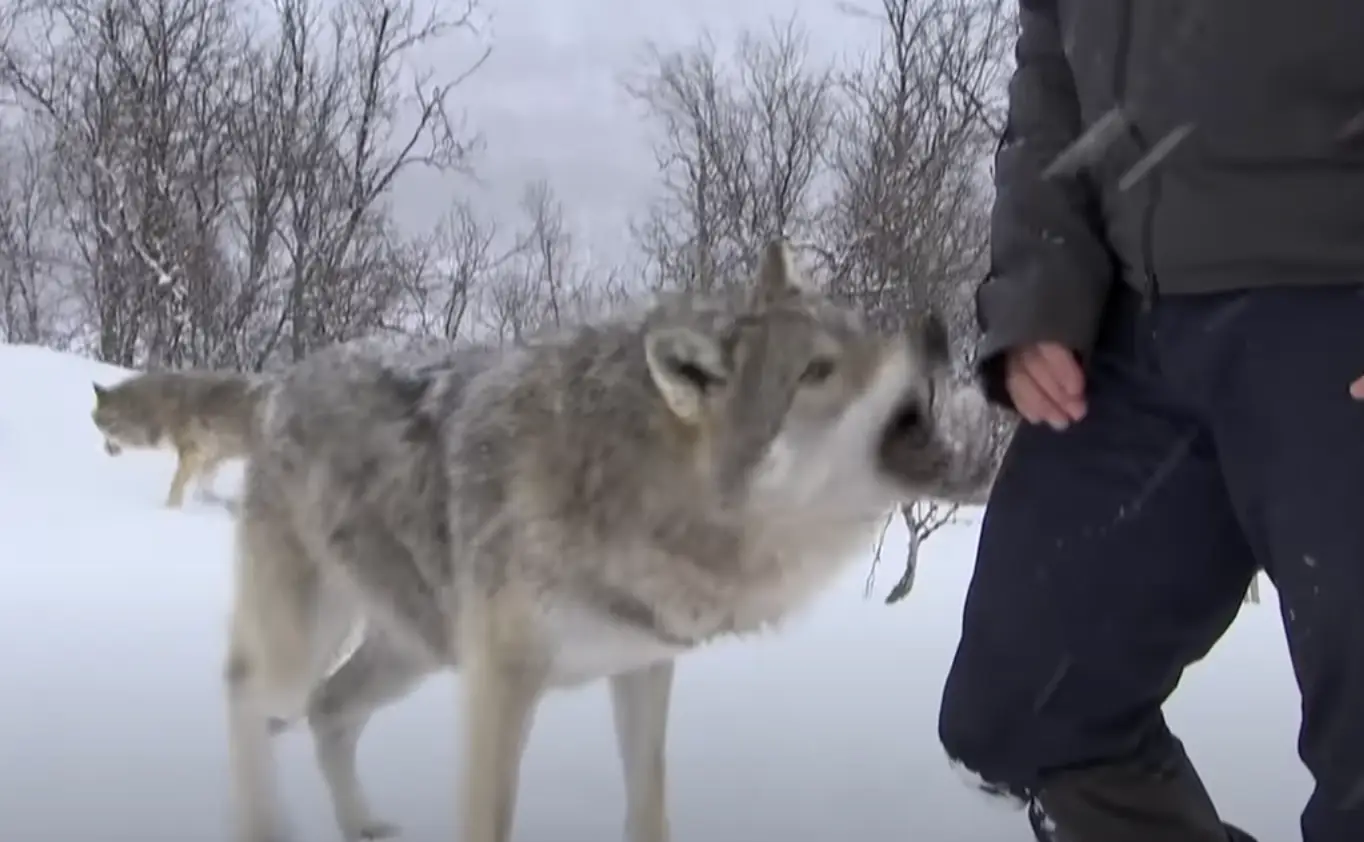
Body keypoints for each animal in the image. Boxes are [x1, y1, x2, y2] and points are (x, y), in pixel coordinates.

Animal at [91, 369, 272, 508]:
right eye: (97, 425)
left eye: (106, 426)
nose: (107, 450)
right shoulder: (211, 457)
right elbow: (205, 490)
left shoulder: (192, 452)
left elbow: (176, 486)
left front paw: (170, 511)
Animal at [222, 239, 996, 842]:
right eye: (815, 371)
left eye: (865, 332)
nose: (933, 331)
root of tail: (280, 382)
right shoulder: (502, 684)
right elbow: (488, 821)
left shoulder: (643, 667)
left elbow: (648, 810)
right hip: (315, 645)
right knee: (247, 691)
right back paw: (264, 825)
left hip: (415, 650)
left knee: (327, 710)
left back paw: (362, 825)